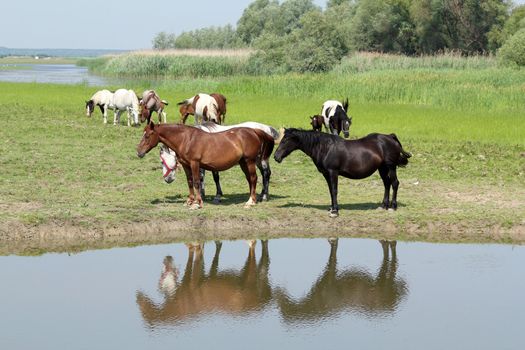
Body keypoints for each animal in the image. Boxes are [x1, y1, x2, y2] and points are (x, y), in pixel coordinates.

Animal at [135, 121, 274, 209]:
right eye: (162, 161)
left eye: (147, 136)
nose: (139, 152)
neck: (186, 139)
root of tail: (255, 131)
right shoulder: (186, 165)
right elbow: (190, 182)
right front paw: (189, 201)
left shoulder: (195, 164)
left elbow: (197, 182)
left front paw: (197, 203)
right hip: (243, 163)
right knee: (250, 179)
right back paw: (253, 199)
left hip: (250, 161)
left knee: (255, 178)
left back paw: (251, 201)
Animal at [272, 128, 412, 216]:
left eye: (285, 140)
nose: (276, 157)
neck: (325, 147)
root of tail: (390, 137)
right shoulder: (326, 174)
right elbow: (330, 191)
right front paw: (332, 208)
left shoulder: (333, 172)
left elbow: (334, 190)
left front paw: (335, 211)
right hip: (382, 168)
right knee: (387, 184)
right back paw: (384, 206)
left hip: (391, 167)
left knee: (395, 183)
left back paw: (393, 207)